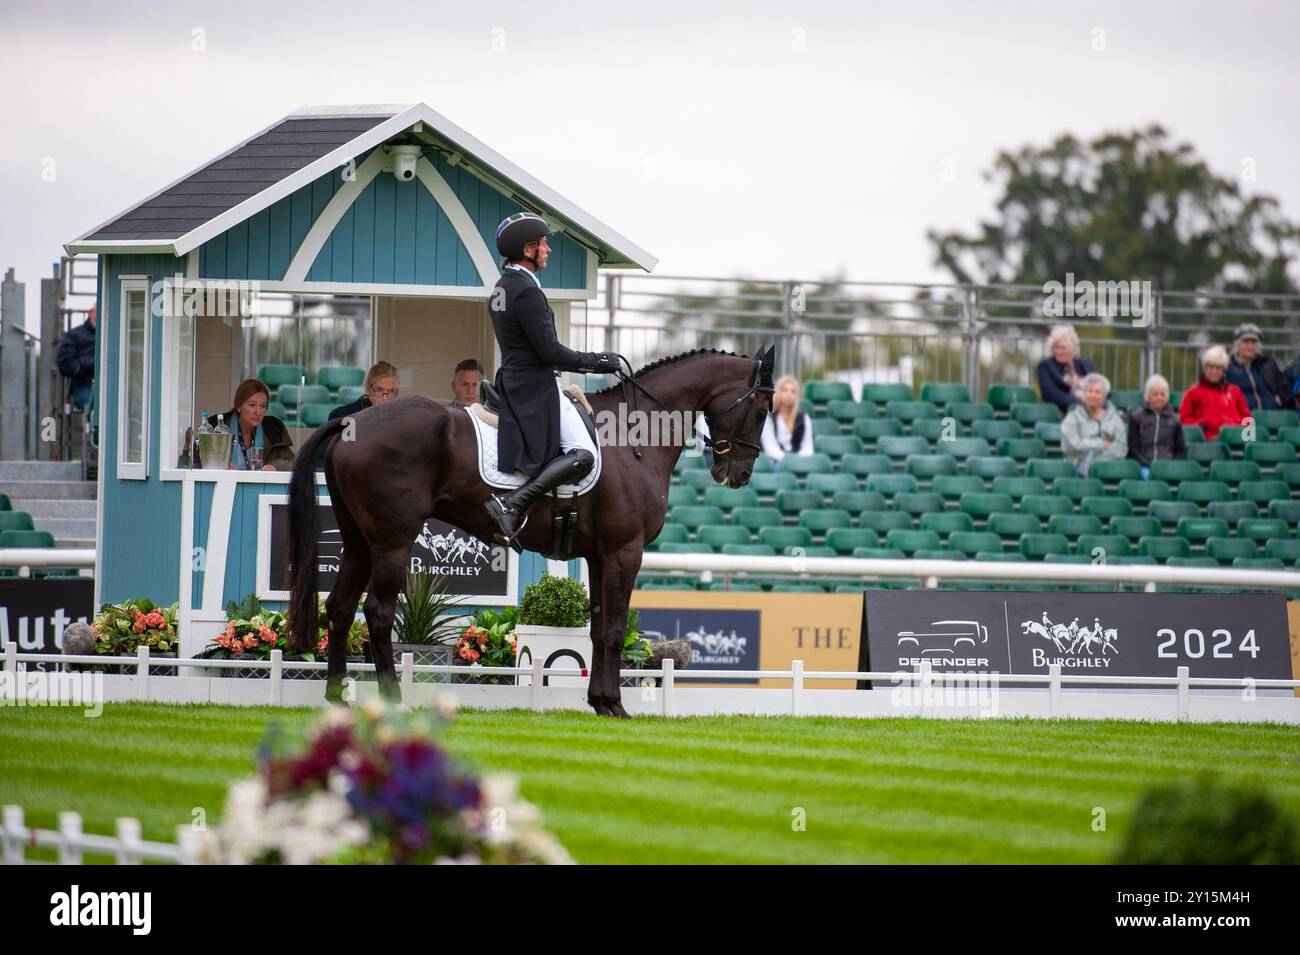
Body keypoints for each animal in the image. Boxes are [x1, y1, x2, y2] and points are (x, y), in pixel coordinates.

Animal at [287, 345, 769, 717]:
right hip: (393, 542)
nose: (739, 474)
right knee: (379, 613)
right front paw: (615, 705)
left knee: (340, 608)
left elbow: (598, 630)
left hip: (358, 542)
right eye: (764, 409)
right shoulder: (624, 552)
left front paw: (599, 701)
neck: (633, 439)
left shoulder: (600, 555)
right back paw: (392, 698)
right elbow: (615, 629)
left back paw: (337, 697)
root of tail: (352, 425)